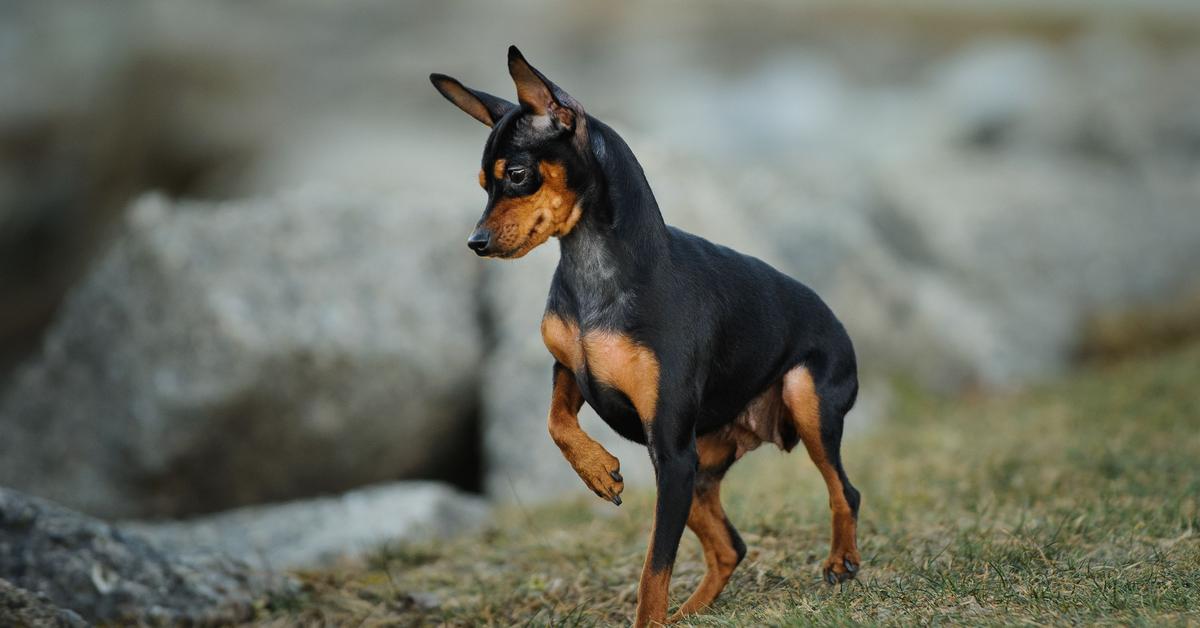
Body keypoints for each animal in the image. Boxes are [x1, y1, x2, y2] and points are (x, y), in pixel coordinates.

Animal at [432, 46, 864, 624]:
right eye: (483, 184)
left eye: (518, 175)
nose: (474, 242)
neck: (595, 271)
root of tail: (837, 322)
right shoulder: (571, 370)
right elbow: (555, 423)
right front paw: (598, 470)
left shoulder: (670, 449)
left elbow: (653, 570)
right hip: (698, 467)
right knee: (731, 546)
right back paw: (688, 614)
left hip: (796, 403)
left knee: (844, 490)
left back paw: (841, 560)